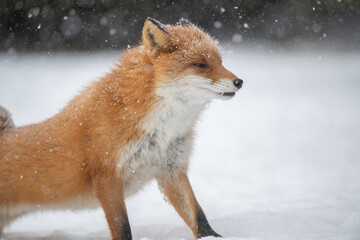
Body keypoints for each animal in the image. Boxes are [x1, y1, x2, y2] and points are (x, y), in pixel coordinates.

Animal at [0, 17, 243, 239]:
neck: (161, 130)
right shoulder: (106, 174)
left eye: (221, 62)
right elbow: (122, 227)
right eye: (200, 64)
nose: (239, 82)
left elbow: (198, 216)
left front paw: (213, 237)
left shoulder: (171, 169)